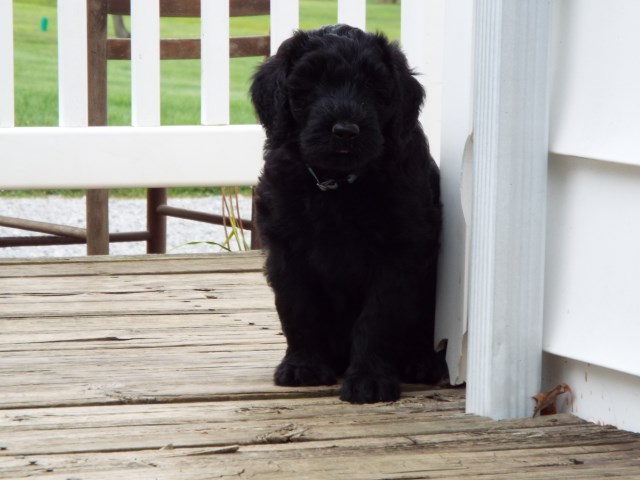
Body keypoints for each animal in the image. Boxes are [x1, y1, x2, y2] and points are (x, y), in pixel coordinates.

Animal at [250, 24, 444, 404]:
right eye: (311, 81)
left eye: (373, 84)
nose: (345, 131)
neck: (337, 184)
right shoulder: (286, 249)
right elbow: (297, 305)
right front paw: (303, 366)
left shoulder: (400, 252)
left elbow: (379, 316)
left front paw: (369, 378)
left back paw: (425, 362)